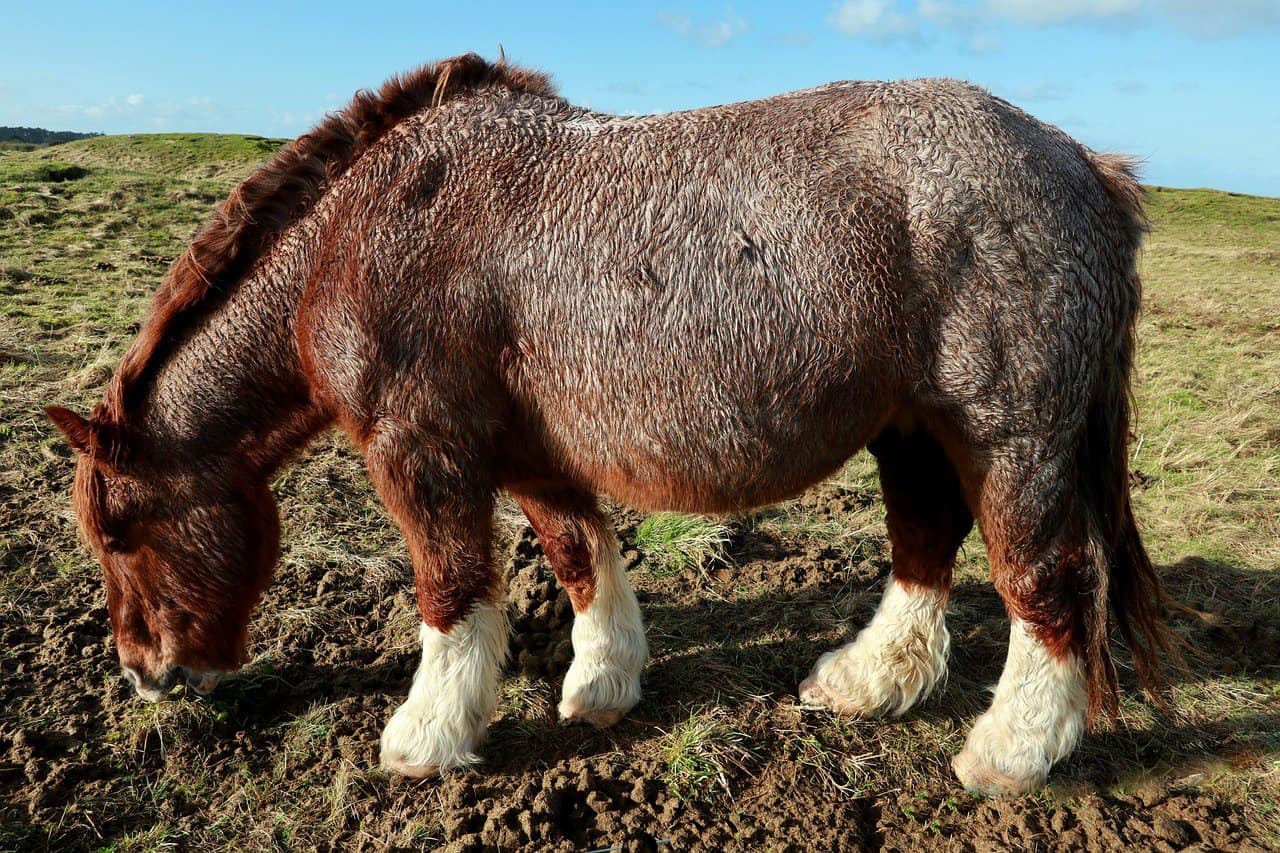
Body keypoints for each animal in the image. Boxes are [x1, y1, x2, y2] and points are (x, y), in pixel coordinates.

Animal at [46, 53, 1175, 797]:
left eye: (120, 532)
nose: (144, 673)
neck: (357, 235)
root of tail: (1085, 166)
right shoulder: (533, 454)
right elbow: (578, 553)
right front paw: (602, 682)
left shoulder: (420, 451)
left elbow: (450, 591)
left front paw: (425, 734)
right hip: (912, 430)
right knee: (924, 545)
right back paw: (865, 683)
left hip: (1010, 438)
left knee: (1048, 582)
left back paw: (1009, 752)